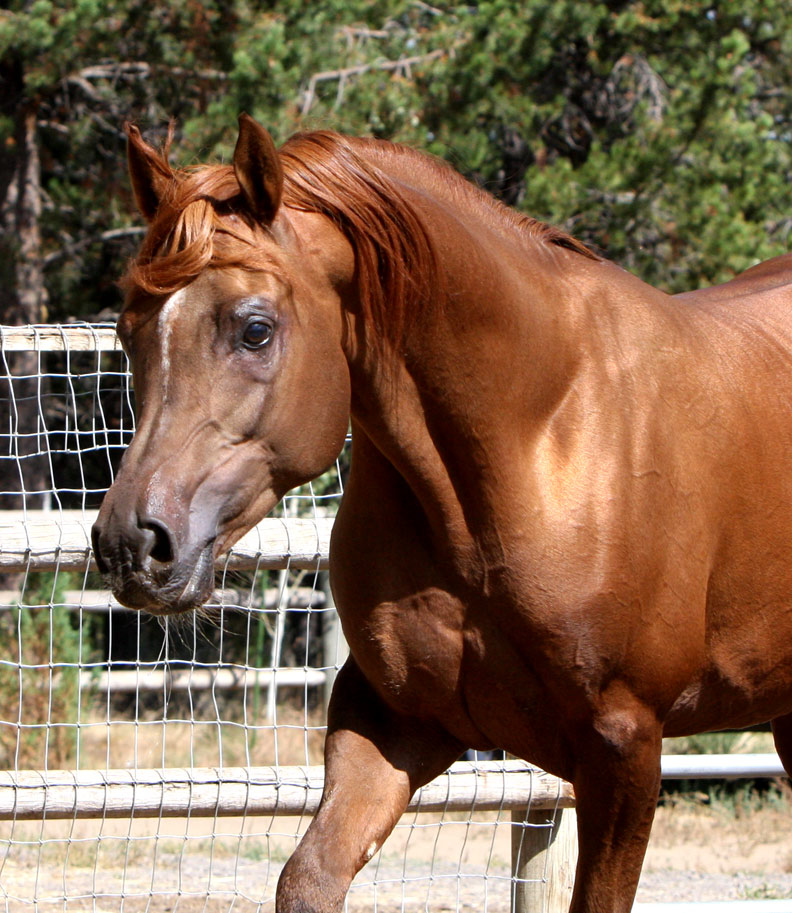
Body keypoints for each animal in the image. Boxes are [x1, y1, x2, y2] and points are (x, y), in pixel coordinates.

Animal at [92, 113, 792, 913]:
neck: (541, 436)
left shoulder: (624, 746)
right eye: (128, 331)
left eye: (255, 329)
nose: (131, 543)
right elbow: (308, 876)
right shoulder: (394, 718)